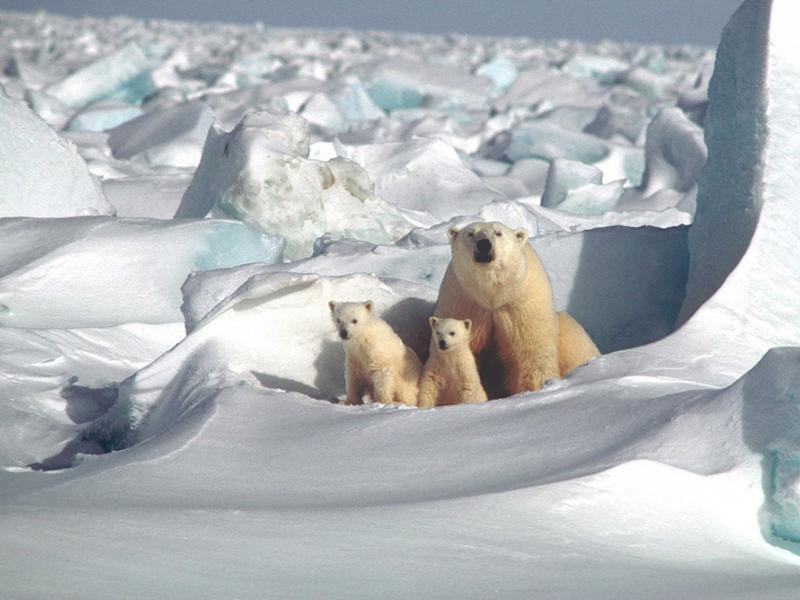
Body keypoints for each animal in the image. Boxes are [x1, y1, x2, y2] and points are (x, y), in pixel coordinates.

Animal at [434, 221, 596, 398]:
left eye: (498, 233)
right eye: (471, 233)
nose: (484, 244)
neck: (492, 295)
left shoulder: (520, 304)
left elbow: (530, 351)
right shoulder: (465, 303)